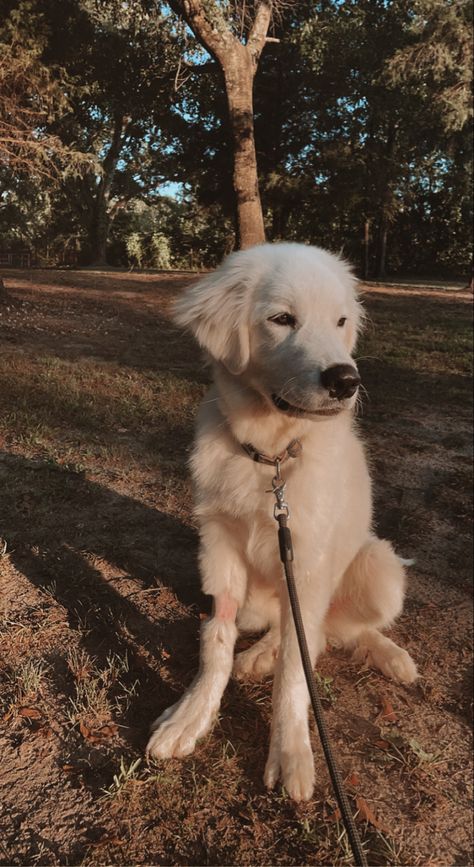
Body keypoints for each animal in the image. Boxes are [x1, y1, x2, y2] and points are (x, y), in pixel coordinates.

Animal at [146, 242, 416, 800]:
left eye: (340, 321)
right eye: (282, 319)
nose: (346, 380)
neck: (271, 458)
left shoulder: (308, 561)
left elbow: (297, 666)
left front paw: (291, 751)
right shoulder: (219, 547)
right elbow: (216, 639)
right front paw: (191, 716)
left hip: (378, 566)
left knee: (331, 633)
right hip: (261, 599)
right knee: (296, 630)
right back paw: (256, 655)